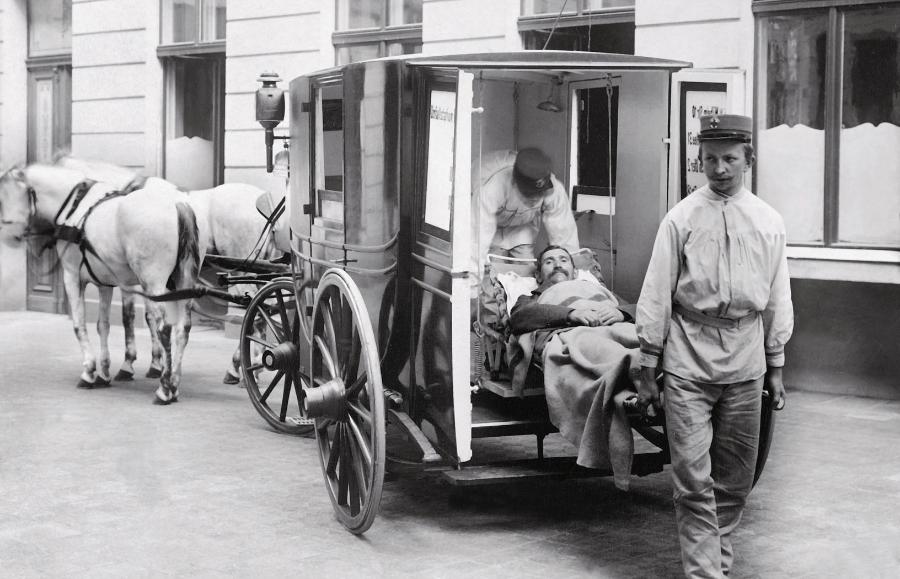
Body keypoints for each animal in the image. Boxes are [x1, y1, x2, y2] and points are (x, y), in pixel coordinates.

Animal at [0, 165, 204, 406]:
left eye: (4, 195)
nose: (8, 236)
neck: (74, 208)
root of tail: (177, 203)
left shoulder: (71, 276)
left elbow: (79, 325)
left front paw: (89, 372)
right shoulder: (105, 283)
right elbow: (103, 325)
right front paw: (104, 373)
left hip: (154, 283)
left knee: (164, 328)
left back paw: (164, 389)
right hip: (184, 283)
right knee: (182, 329)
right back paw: (174, 383)